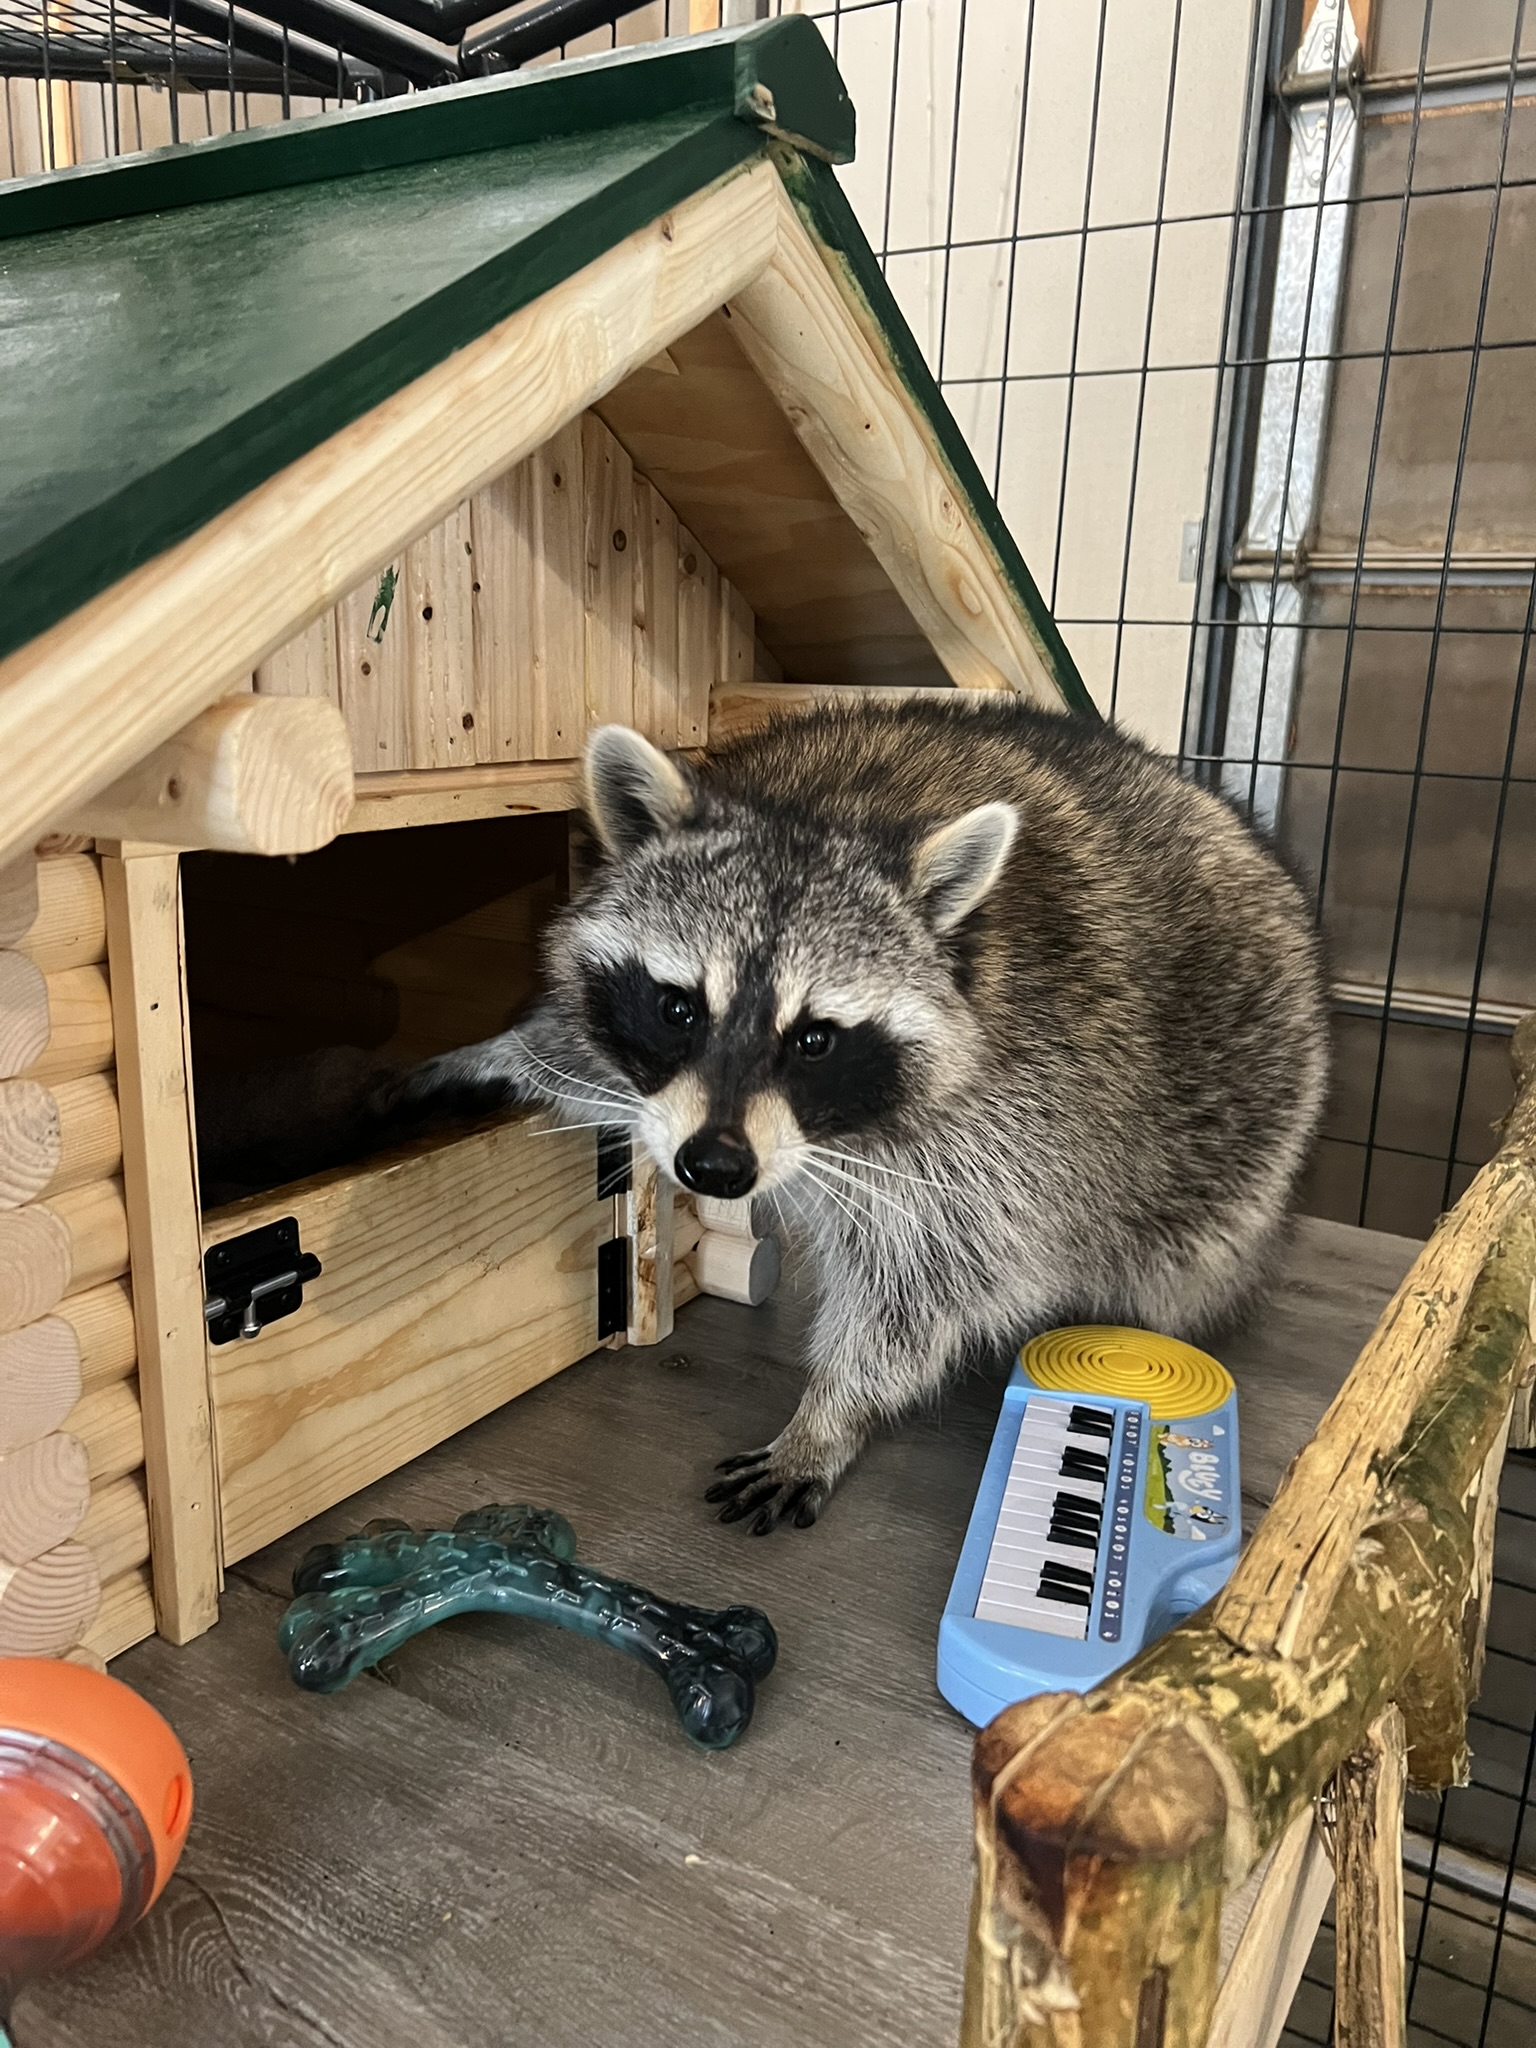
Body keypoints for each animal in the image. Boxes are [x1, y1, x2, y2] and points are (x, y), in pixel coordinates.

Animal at [383, 698, 1330, 1535]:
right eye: (678, 1007)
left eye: (815, 1040)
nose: (714, 1168)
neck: (827, 806)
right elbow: (600, 1069)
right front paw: (509, 1054)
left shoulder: (1016, 1111)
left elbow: (924, 1280)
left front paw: (830, 1415)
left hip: (1234, 1155)